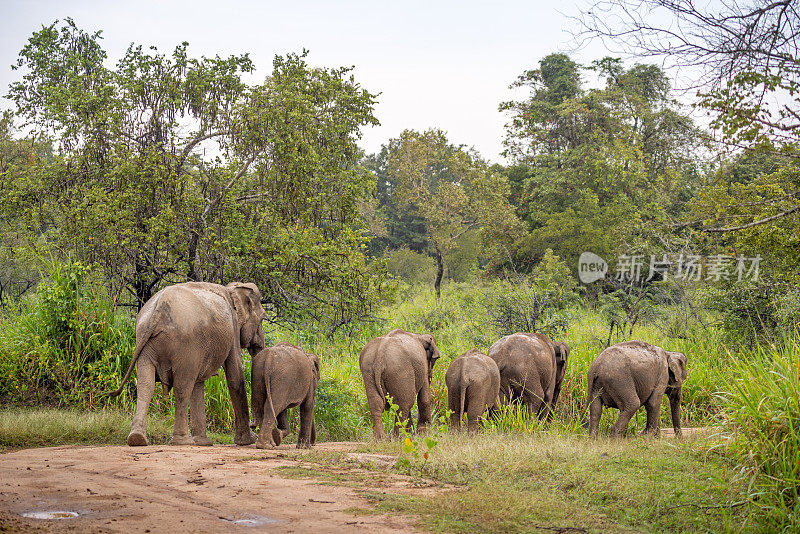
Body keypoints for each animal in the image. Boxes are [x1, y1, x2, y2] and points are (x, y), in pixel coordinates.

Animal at [109, 284, 268, 448]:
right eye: (262, 318)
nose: (254, 427)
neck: (232, 289)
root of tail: (159, 310)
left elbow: (199, 382)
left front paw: (203, 443)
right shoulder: (233, 328)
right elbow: (235, 376)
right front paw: (248, 441)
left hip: (144, 341)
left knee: (146, 385)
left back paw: (137, 439)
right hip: (187, 344)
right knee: (183, 387)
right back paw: (182, 441)